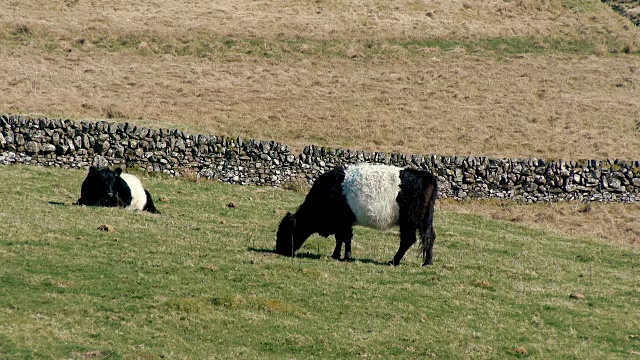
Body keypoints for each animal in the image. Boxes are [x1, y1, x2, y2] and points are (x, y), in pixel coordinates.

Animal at [272, 163, 438, 264]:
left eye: (286, 232)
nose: (279, 250)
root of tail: (426, 176)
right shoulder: (343, 222)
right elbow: (341, 239)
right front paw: (337, 255)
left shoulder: (343, 221)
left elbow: (344, 237)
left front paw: (345, 256)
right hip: (424, 220)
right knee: (429, 236)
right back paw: (427, 262)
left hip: (409, 220)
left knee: (408, 240)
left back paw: (394, 261)